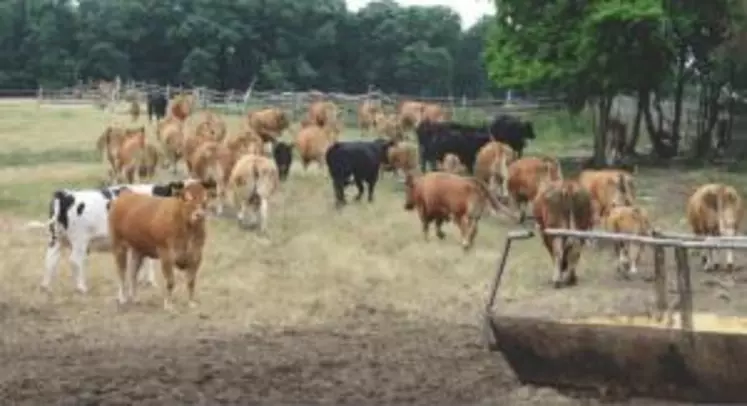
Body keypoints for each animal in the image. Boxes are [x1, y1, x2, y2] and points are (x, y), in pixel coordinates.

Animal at [42, 181, 183, 292]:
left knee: (51, 259)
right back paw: (81, 287)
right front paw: (150, 282)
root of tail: (66, 194)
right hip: (79, 240)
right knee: (75, 261)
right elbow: (149, 262)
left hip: (56, 239)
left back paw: (46, 287)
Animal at [109, 178, 218, 310]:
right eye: (186, 197)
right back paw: (122, 298)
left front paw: (191, 303)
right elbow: (170, 281)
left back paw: (135, 298)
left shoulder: (196, 255)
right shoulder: (166, 255)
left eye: (205, 198)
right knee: (121, 272)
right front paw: (168, 305)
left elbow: (191, 281)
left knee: (133, 273)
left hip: (138, 249)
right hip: (119, 245)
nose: (199, 215)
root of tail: (126, 195)